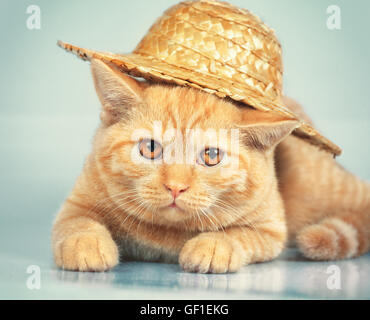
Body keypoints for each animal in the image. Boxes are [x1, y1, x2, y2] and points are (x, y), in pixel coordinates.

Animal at [50, 60, 368, 272]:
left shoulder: (271, 229)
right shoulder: (77, 201)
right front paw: (85, 244)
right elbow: (77, 222)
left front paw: (214, 246)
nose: (176, 187)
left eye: (211, 155)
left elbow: (240, 234)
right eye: (150, 148)